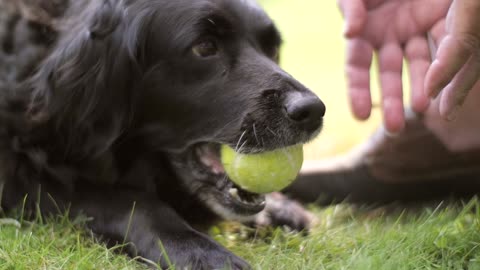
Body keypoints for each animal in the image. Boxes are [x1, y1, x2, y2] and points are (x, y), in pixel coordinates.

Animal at [0, 0, 324, 268]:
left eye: (272, 49)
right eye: (205, 47)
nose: (312, 111)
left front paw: (281, 209)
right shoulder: (20, 178)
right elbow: (129, 201)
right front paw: (198, 250)